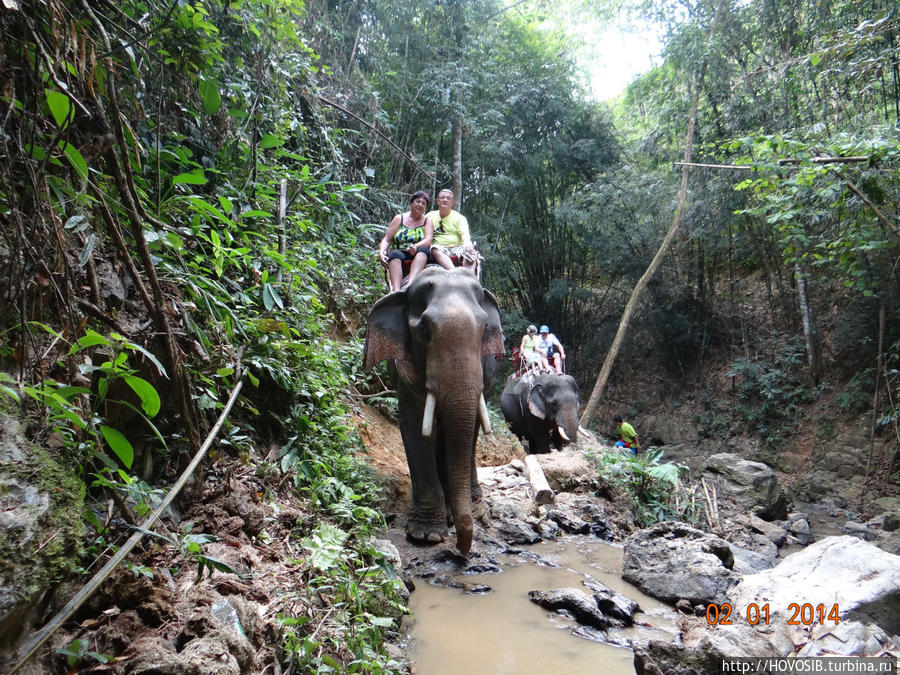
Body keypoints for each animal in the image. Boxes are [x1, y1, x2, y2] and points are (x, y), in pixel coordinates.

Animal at [366, 266, 506, 556]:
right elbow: (414, 426)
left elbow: (467, 431)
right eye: (425, 329)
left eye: (484, 328)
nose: (462, 552)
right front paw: (426, 535)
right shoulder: (406, 371)